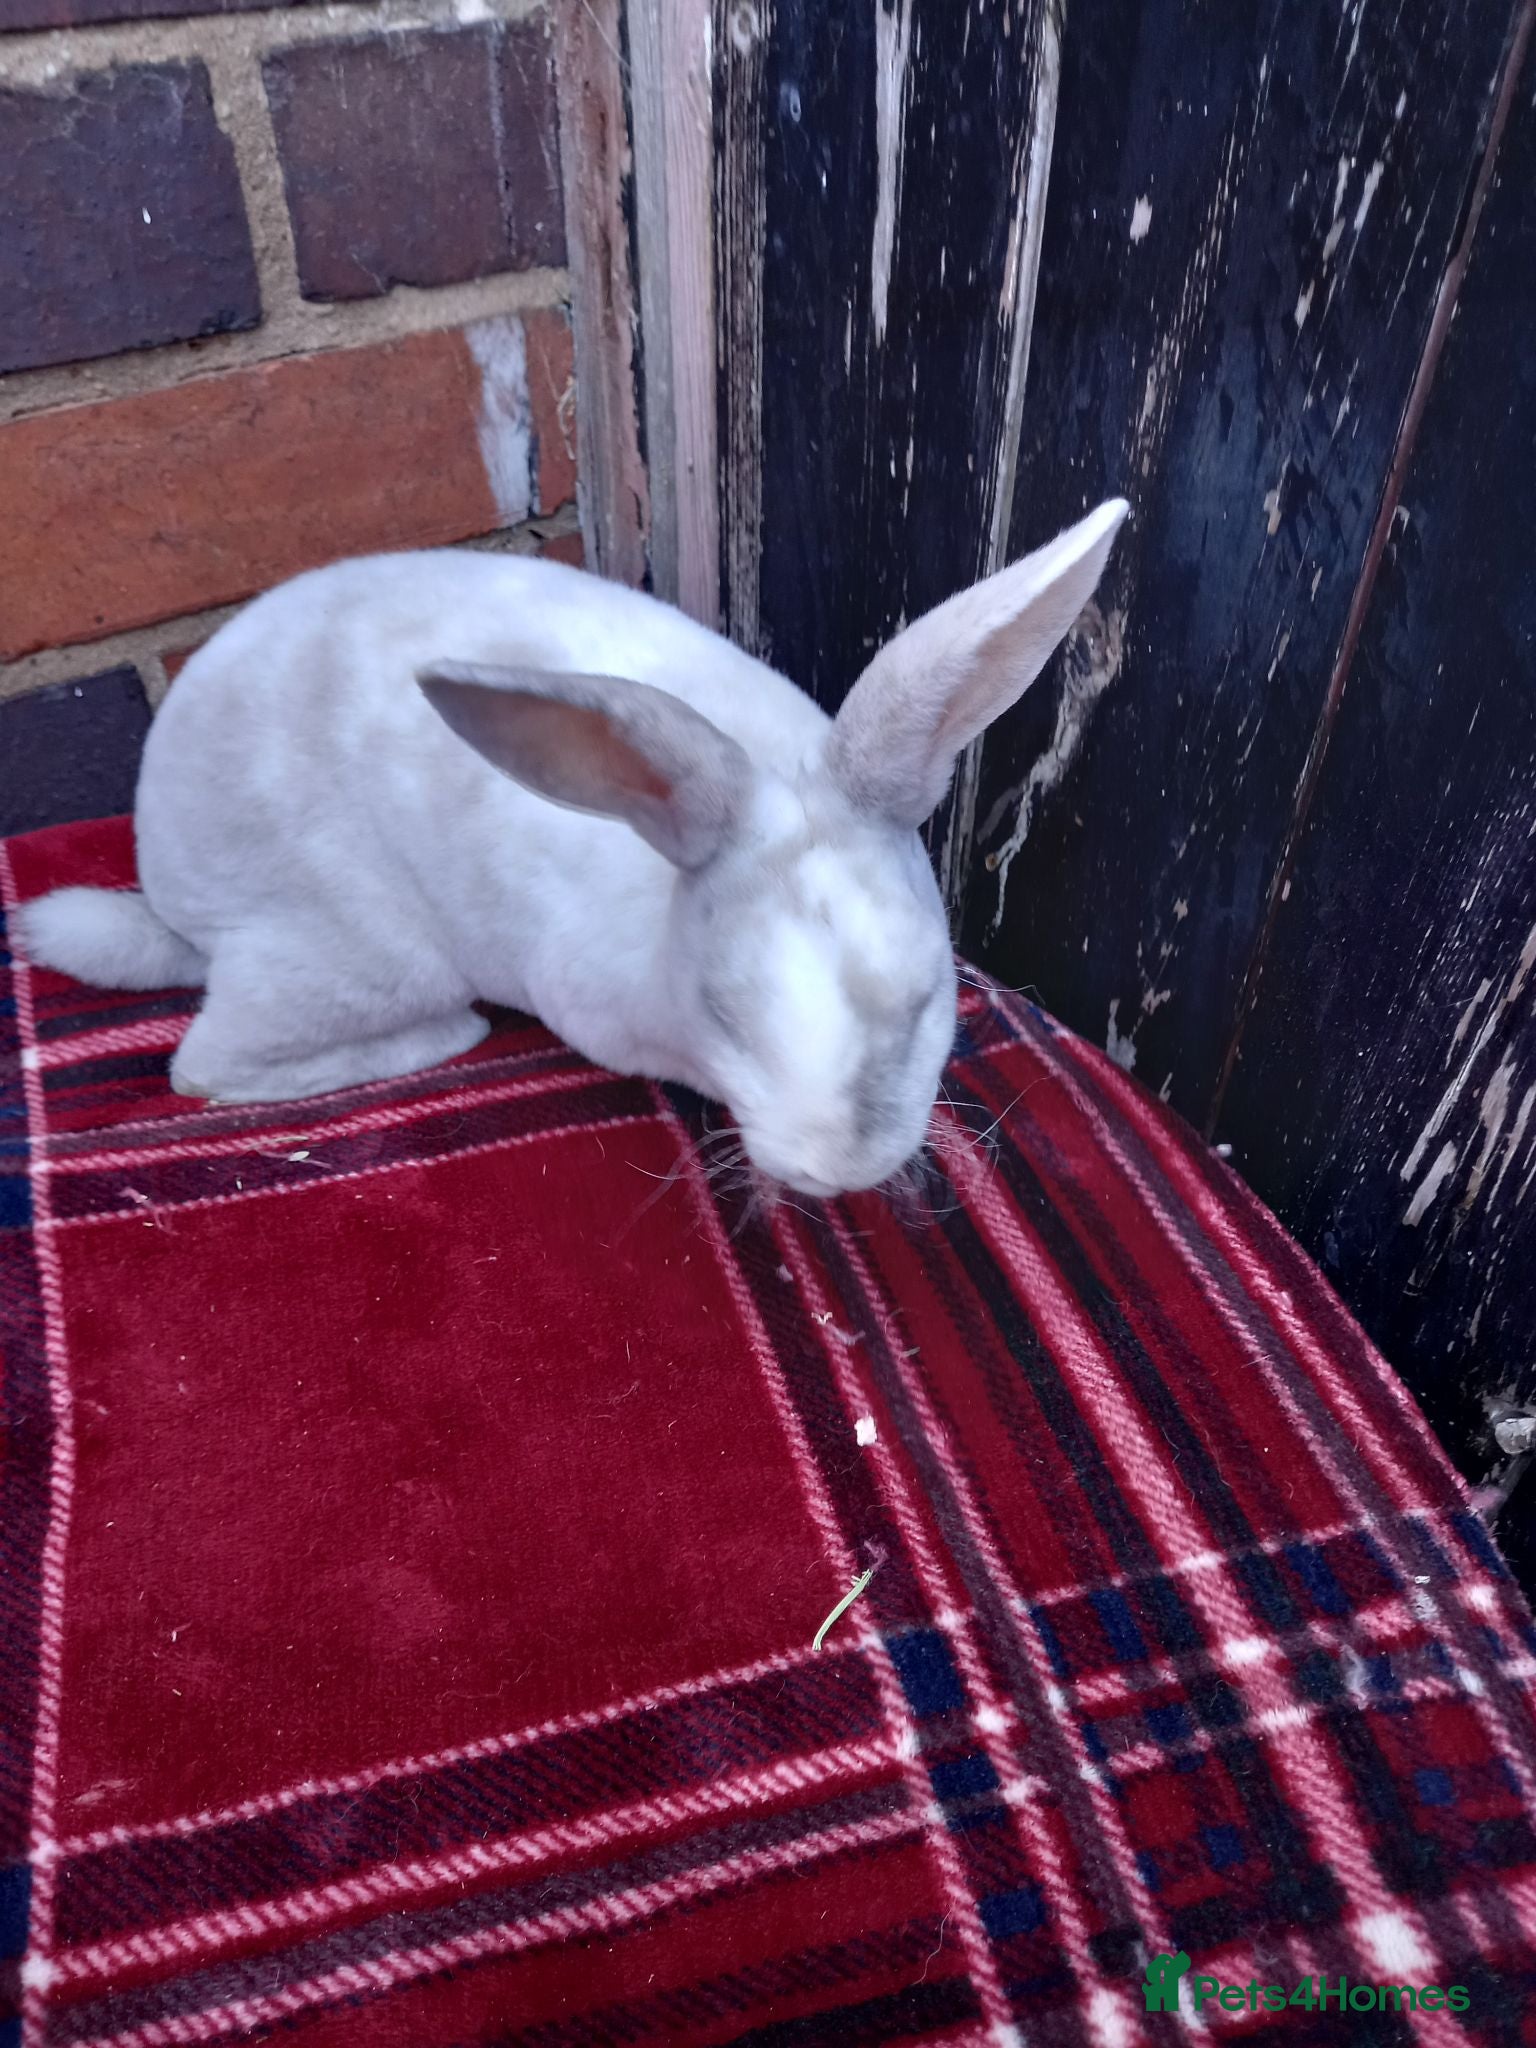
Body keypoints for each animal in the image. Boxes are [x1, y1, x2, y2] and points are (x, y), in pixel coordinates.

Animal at [16, 498, 1127, 1197]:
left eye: (932, 993)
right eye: (725, 1013)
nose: (844, 1169)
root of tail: (166, 888)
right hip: (353, 957)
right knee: (205, 1067)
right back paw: (447, 1035)